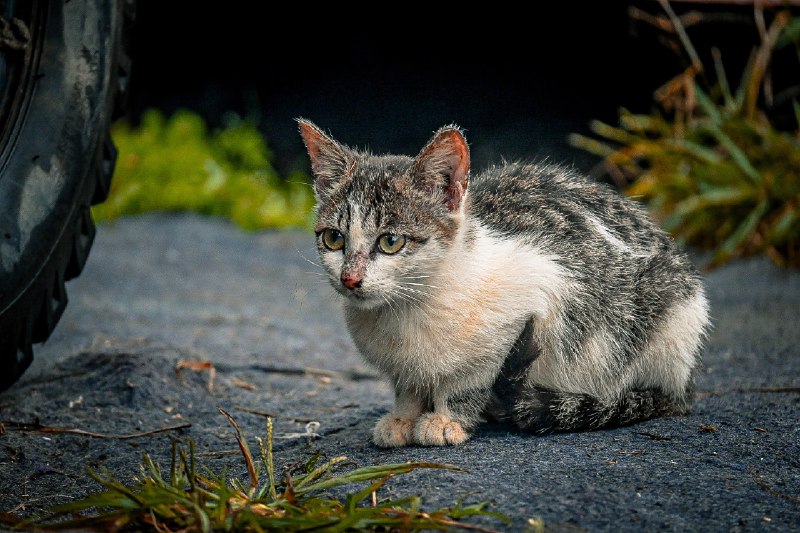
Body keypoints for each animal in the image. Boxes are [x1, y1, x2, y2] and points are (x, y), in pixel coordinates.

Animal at [296, 118, 708, 446]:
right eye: (333, 238)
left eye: (391, 241)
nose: (350, 279)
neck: (408, 307)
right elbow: (409, 384)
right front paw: (403, 416)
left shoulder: (533, 299)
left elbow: (469, 380)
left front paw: (447, 420)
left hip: (669, 321)